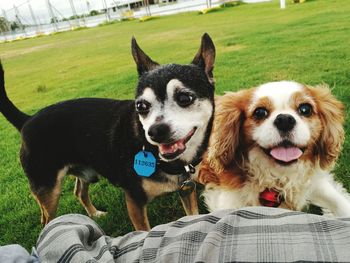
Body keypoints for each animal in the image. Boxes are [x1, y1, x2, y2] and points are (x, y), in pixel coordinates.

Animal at [0, 34, 215, 231]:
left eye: (185, 98)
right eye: (141, 106)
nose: (155, 131)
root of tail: (27, 120)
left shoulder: (186, 190)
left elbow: (193, 215)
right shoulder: (134, 201)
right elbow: (143, 231)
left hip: (84, 171)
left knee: (79, 192)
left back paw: (94, 214)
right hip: (48, 189)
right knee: (46, 220)